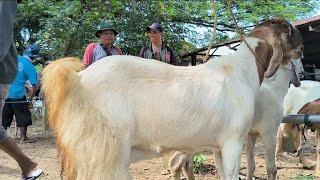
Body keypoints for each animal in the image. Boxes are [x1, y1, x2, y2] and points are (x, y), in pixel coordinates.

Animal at [169, 58, 304, 179]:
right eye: (300, 58)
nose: (303, 71)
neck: (274, 88)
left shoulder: (251, 134)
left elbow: (251, 165)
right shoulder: (269, 132)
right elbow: (271, 169)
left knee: (186, 165)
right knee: (175, 163)